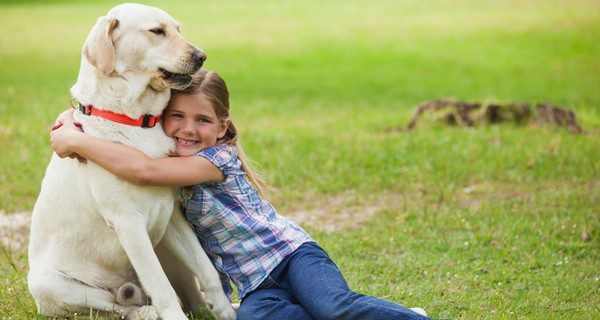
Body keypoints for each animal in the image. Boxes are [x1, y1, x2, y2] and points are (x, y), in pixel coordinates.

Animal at [27, 3, 237, 320]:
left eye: (178, 29)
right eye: (157, 31)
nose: (201, 56)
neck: (136, 120)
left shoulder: (171, 216)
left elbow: (207, 271)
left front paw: (226, 311)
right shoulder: (128, 223)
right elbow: (160, 287)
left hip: (163, 246)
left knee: (188, 295)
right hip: (50, 285)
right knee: (118, 307)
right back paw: (144, 311)